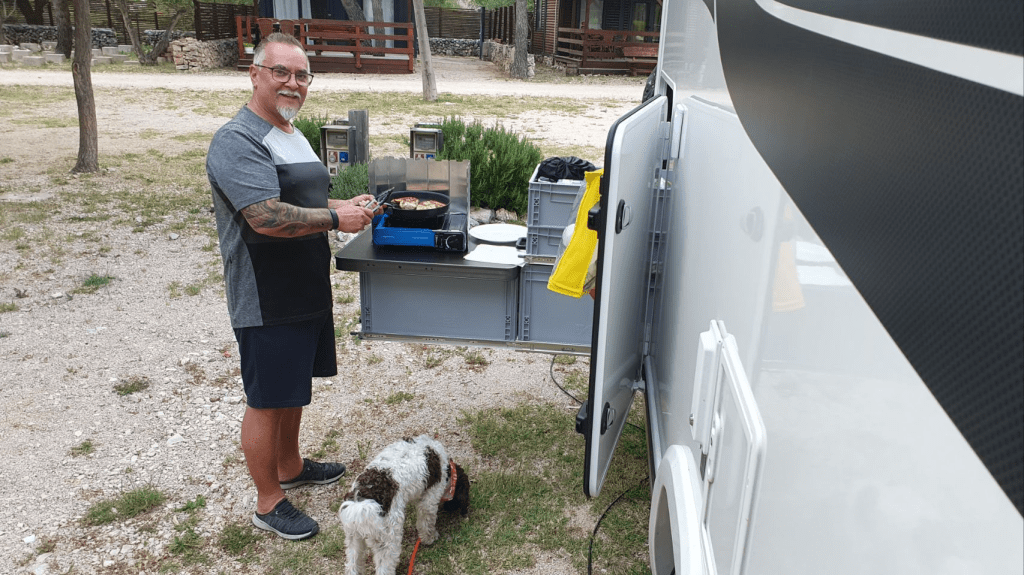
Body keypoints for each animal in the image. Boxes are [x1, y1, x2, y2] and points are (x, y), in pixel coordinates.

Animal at [339, 435, 470, 575]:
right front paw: (430, 538)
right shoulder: (429, 499)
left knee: (352, 566)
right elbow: (426, 523)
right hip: (388, 540)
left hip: (353, 539)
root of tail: (362, 501)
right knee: (384, 568)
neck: (448, 472)